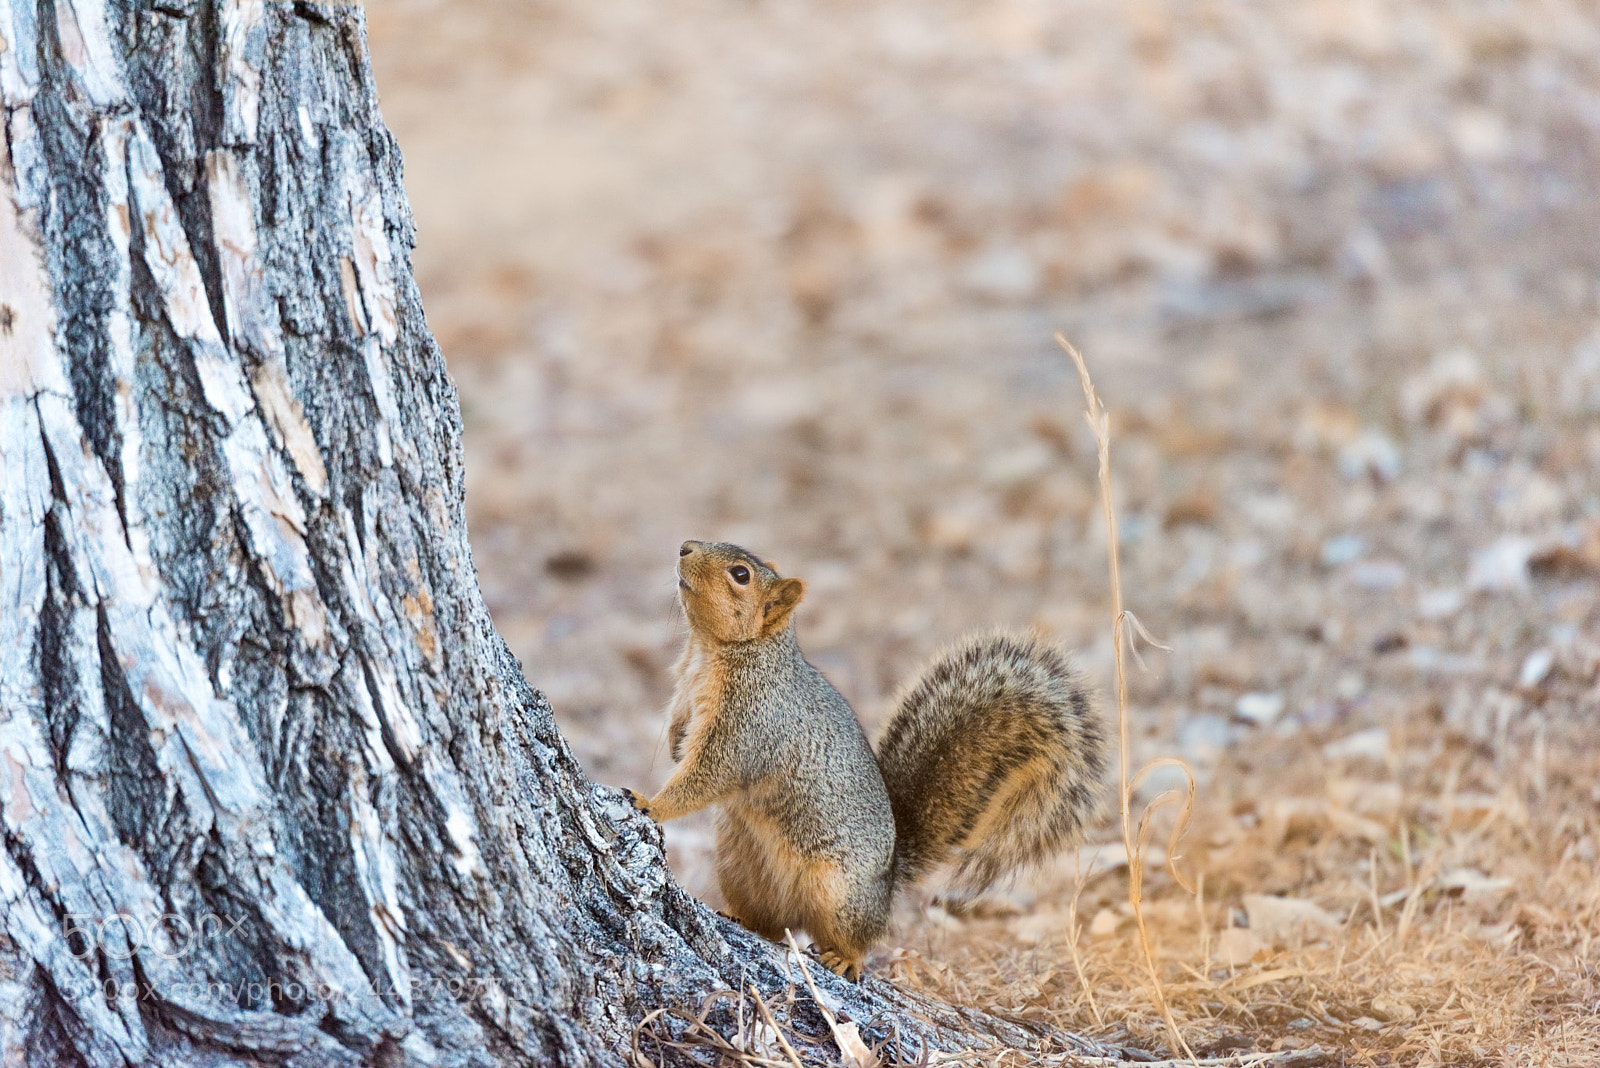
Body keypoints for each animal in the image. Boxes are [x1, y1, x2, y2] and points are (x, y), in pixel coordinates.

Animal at [624, 540, 1105, 980]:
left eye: (740, 574)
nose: (684, 547)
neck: (711, 652)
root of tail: (889, 880)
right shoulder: (685, 693)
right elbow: (678, 727)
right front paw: (674, 744)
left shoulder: (749, 726)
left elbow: (707, 776)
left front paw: (651, 803)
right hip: (738, 865)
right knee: (773, 924)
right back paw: (741, 917)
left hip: (837, 892)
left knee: (859, 936)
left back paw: (845, 958)